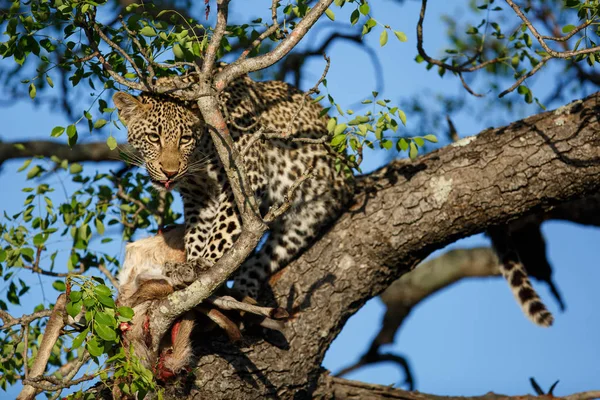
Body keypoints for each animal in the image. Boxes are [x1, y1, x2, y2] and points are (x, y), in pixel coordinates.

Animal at [113, 75, 352, 298]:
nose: (169, 172)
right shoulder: (198, 197)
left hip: (307, 217)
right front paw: (190, 263)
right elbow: (196, 233)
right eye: (153, 137)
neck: (199, 157)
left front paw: (205, 263)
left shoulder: (247, 178)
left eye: (185, 139)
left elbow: (222, 228)